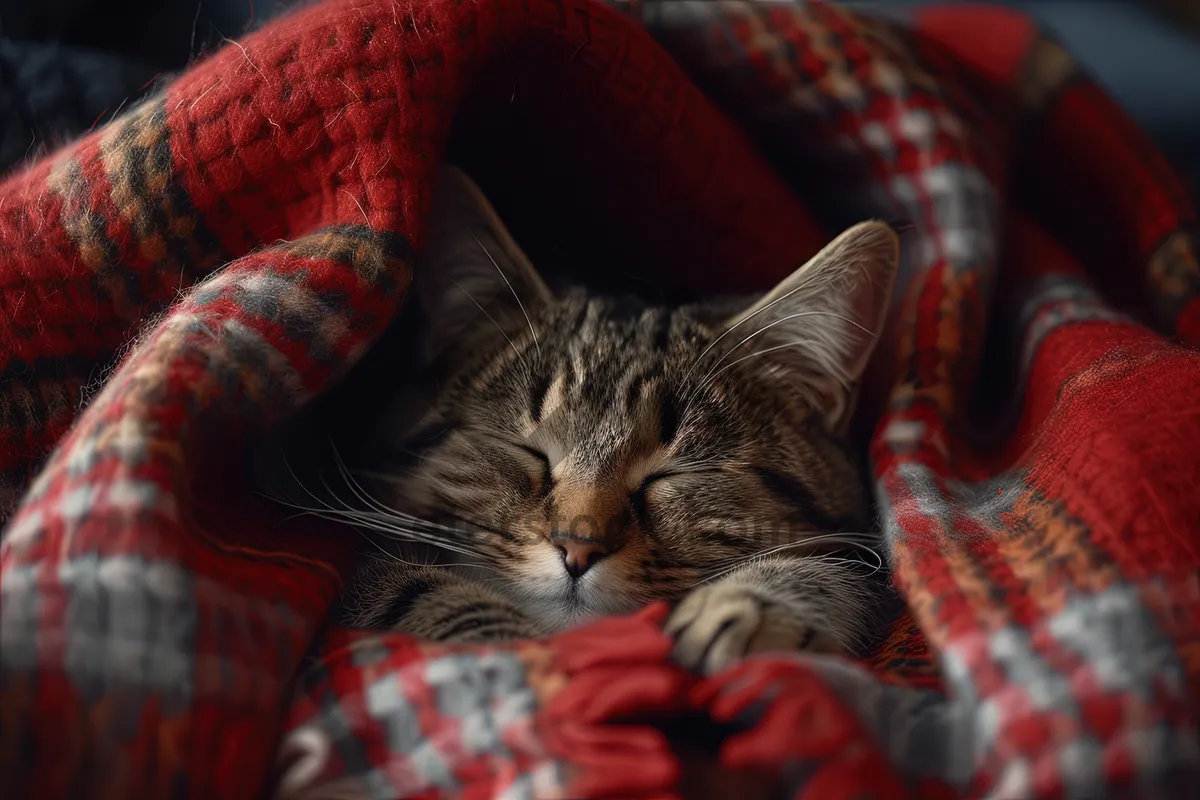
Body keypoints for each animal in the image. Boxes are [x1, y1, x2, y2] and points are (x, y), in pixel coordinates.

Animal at [338, 167, 902, 676]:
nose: (578, 545)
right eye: (528, 450)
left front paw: (754, 605)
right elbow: (419, 590)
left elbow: (843, 570)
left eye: (676, 474)